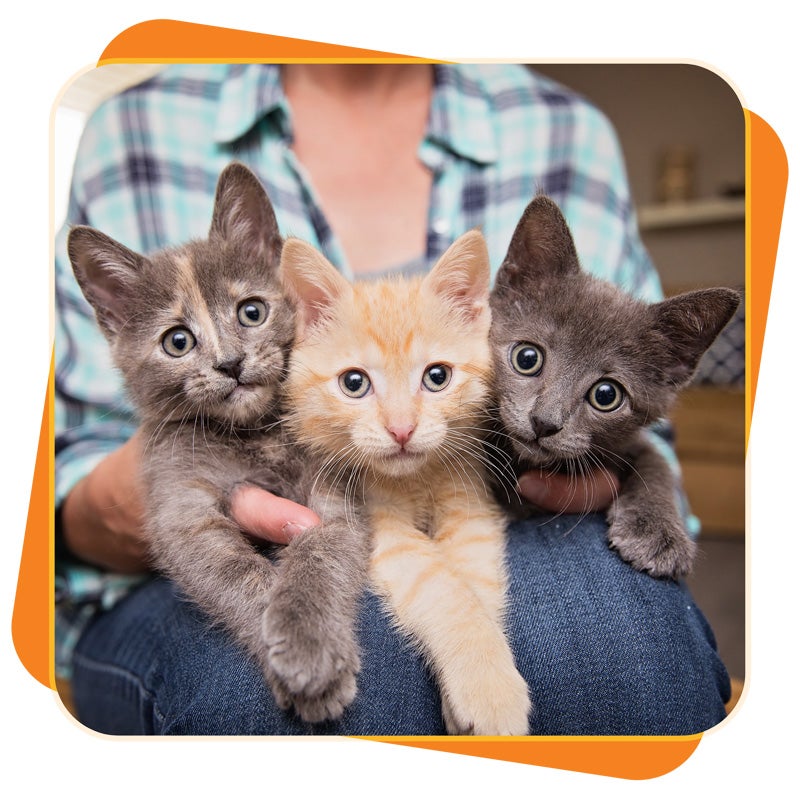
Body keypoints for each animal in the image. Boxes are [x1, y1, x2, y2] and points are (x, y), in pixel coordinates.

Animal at [69, 162, 368, 724]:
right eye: (177, 342)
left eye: (251, 312)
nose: (230, 363)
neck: (255, 432)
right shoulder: (179, 501)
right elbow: (233, 574)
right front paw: (300, 656)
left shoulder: (336, 493)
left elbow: (319, 550)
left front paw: (308, 641)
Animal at [282, 233, 532, 736]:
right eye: (354, 383)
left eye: (437, 377)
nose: (401, 430)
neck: (417, 477)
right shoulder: (380, 529)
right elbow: (443, 588)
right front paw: (488, 685)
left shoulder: (472, 506)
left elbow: (473, 580)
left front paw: (480, 680)